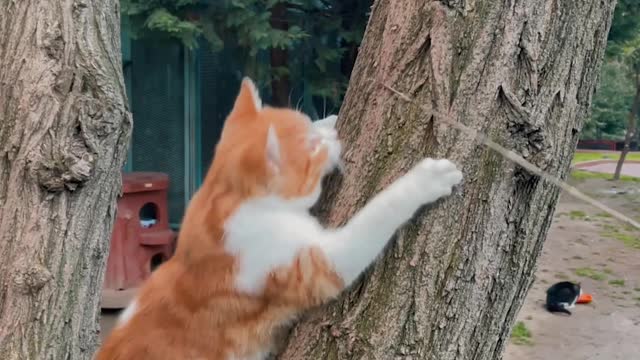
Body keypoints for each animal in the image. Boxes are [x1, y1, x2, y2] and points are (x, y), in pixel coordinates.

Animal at [95, 77, 462, 358]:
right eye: (313, 147)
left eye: (311, 127)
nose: (334, 136)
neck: (229, 198)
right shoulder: (319, 266)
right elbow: (379, 212)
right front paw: (428, 178)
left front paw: (331, 117)